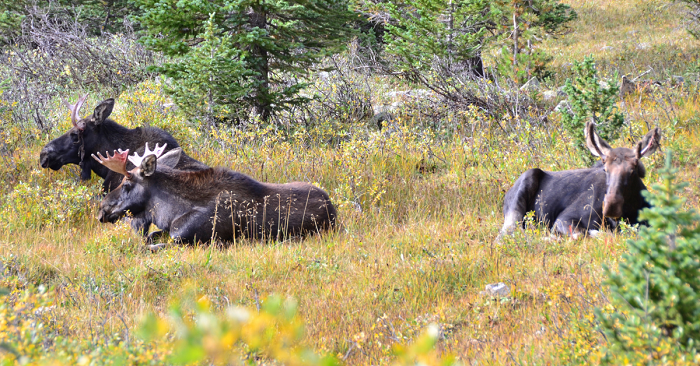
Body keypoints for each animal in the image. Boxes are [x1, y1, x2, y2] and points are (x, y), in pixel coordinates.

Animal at [91, 142, 338, 250]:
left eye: (126, 183)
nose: (102, 210)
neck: (168, 211)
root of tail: (333, 208)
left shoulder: (189, 237)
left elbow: (151, 244)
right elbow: (152, 236)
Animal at [498, 121, 660, 240]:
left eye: (633, 170)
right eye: (605, 169)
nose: (611, 206)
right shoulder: (564, 218)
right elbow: (585, 233)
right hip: (519, 200)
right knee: (508, 234)